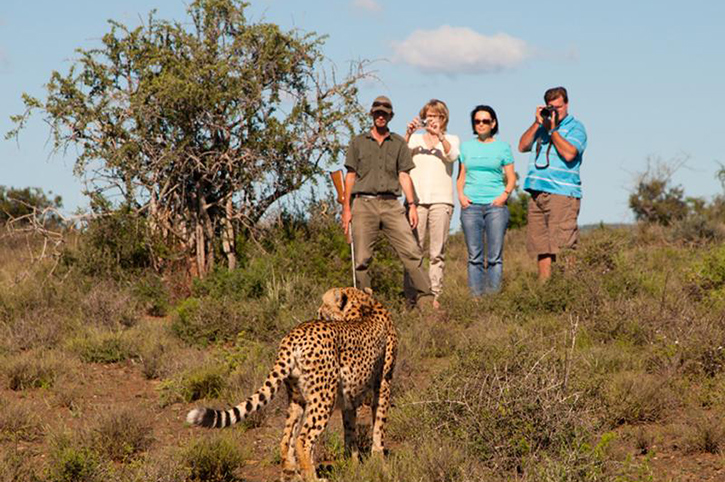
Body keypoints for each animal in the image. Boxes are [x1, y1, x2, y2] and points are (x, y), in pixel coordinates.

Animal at [186, 286, 398, 481]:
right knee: (303, 440)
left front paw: (353, 463)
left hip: (298, 397)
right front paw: (379, 461)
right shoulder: (383, 382)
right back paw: (313, 477)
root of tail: (293, 335)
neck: (361, 305)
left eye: (324, 303)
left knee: (286, 438)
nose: (318, 310)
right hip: (324, 397)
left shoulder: (351, 395)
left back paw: (291, 474)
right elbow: (379, 425)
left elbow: (351, 430)